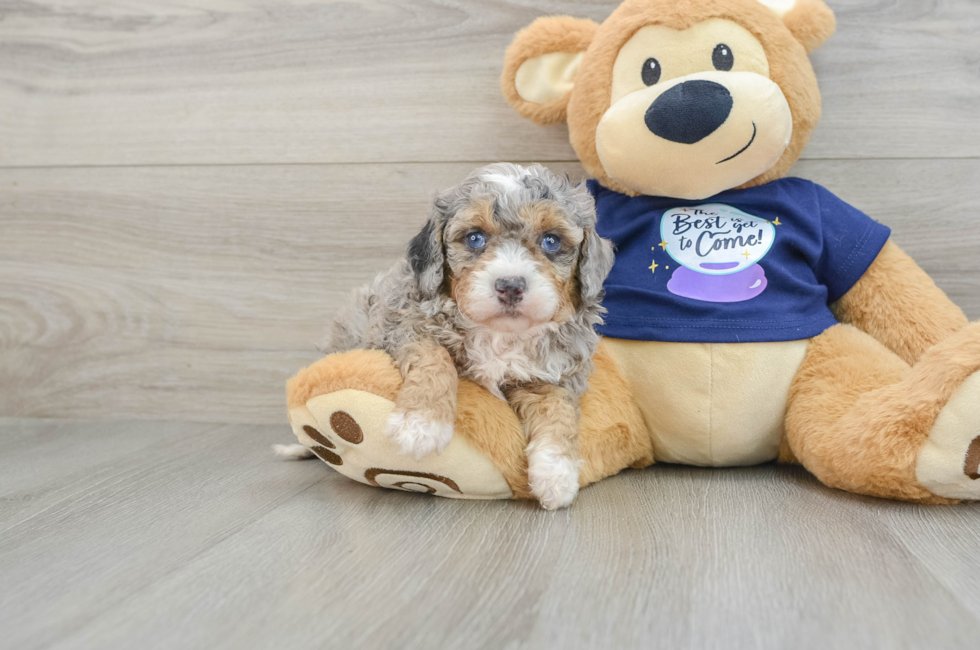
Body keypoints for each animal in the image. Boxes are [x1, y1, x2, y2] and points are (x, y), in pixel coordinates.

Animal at [322, 162, 612, 506]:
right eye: (475, 238)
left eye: (551, 241)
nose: (510, 285)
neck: (499, 334)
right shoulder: (401, 325)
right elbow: (434, 356)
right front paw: (421, 425)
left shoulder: (550, 375)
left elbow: (558, 408)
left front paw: (557, 474)